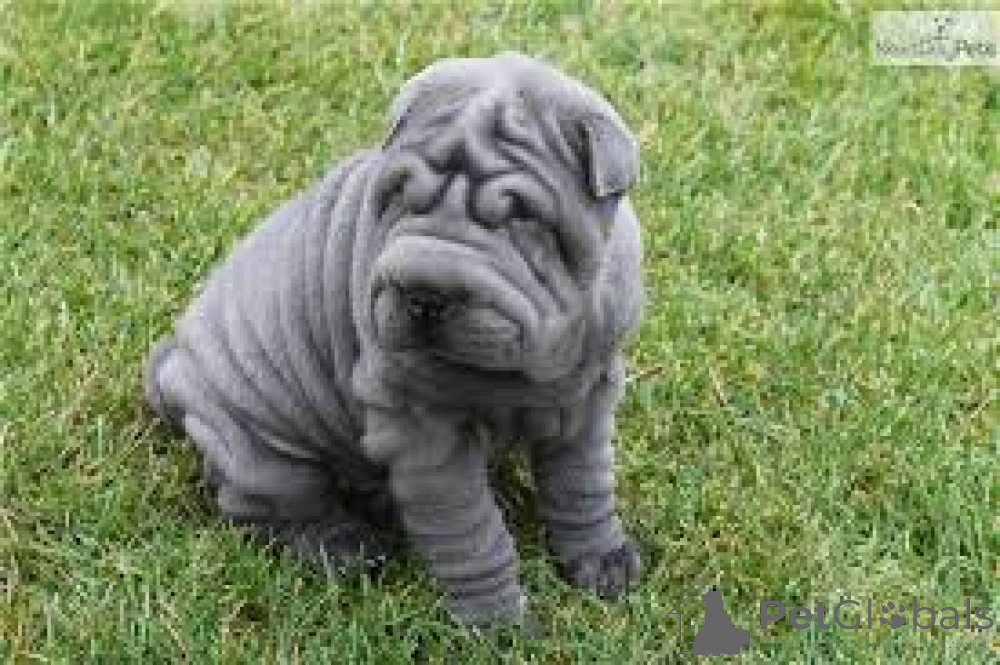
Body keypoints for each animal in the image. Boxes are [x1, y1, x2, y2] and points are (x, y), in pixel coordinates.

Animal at [144, 52, 643, 627]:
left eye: (521, 215)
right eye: (399, 193)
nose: (425, 294)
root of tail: (173, 364)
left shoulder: (590, 395)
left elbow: (583, 484)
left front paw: (604, 563)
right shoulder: (426, 432)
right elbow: (469, 530)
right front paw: (496, 624)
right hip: (255, 446)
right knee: (267, 504)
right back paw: (347, 547)